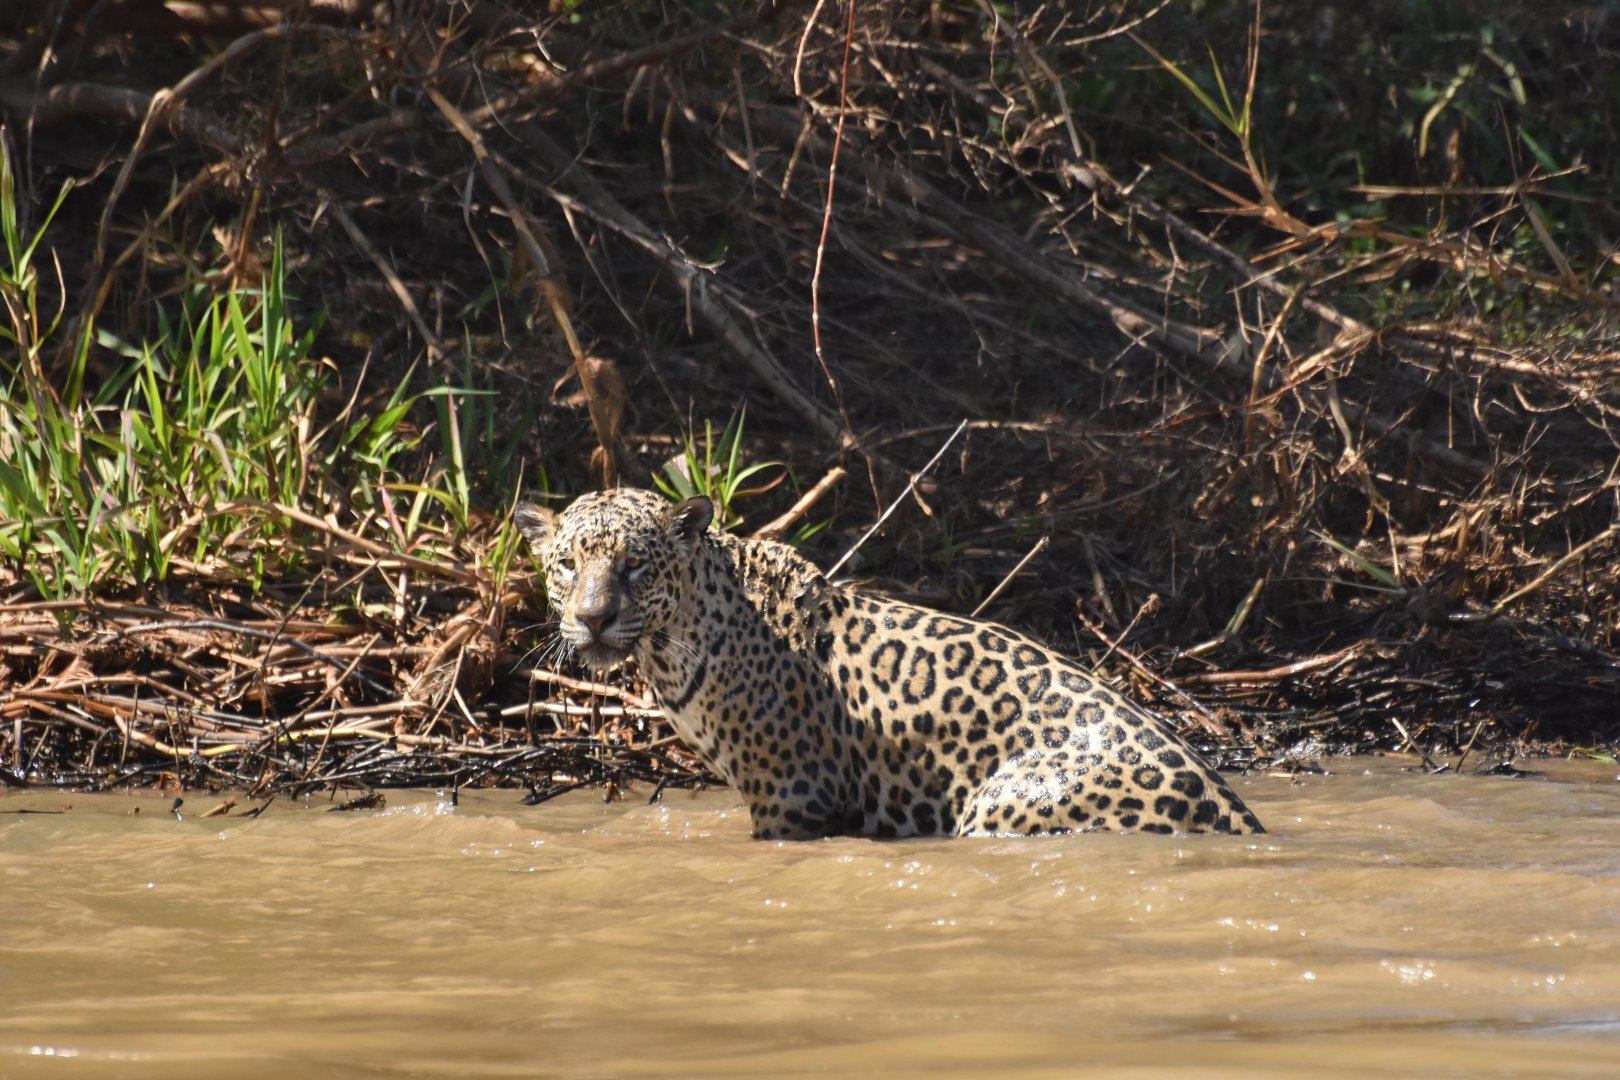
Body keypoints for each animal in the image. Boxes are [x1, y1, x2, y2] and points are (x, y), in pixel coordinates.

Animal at [515, 488, 1265, 840]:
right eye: (567, 564)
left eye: (634, 568)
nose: (592, 618)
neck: (677, 644)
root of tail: (1237, 814)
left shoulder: (793, 794)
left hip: (1002, 801)